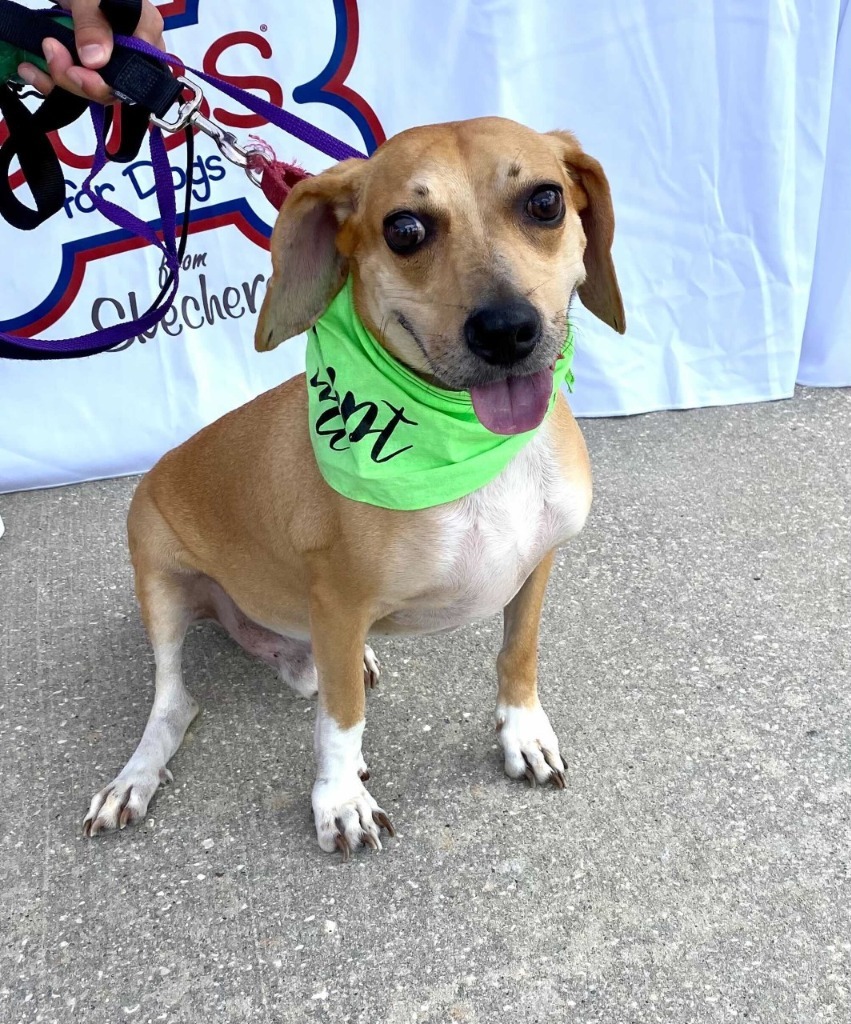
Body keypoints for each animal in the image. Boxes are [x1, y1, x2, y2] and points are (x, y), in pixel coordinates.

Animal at [81, 114, 626, 856]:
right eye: (405, 229)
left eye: (545, 201)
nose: (506, 330)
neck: (472, 449)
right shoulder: (337, 603)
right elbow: (341, 723)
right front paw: (339, 799)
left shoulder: (534, 566)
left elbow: (517, 656)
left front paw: (523, 733)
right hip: (159, 580)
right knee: (175, 704)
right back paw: (133, 778)